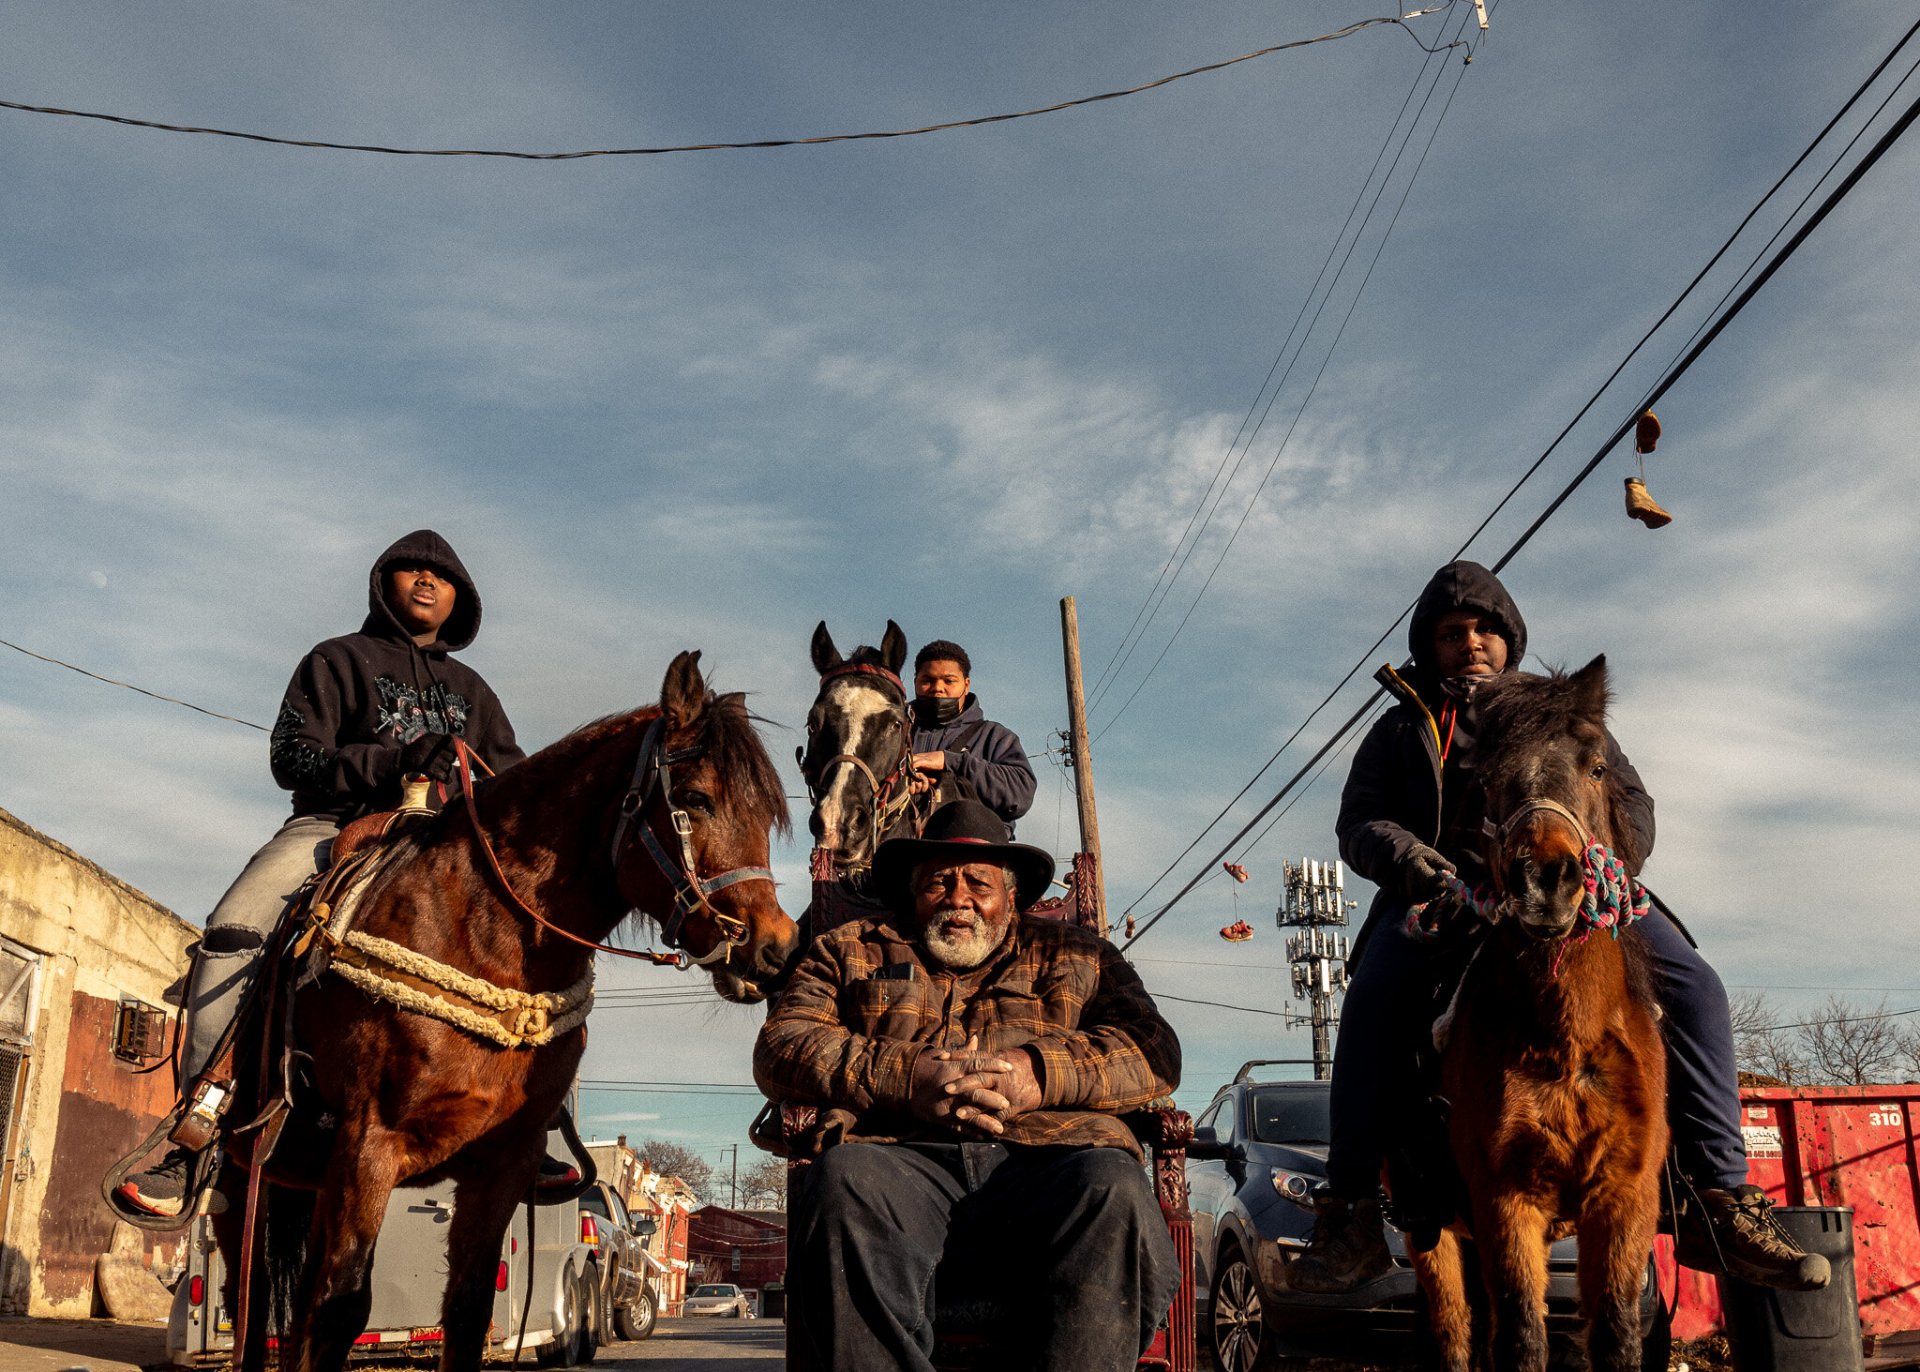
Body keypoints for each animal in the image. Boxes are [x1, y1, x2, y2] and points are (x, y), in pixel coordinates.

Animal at [217, 652, 794, 1372]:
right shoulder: (369, 1142)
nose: (776, 948)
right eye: (694, 799)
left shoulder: (502, 1164)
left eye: (767, 817)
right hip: (248, 1174)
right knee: (252, 1300)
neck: (481, 936)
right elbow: (340, 1307)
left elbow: (466, 1310)